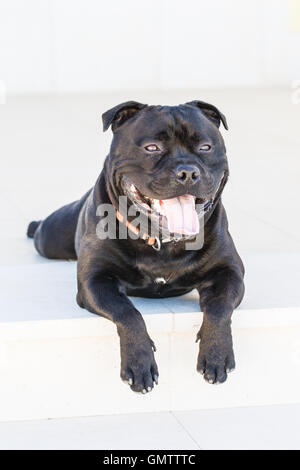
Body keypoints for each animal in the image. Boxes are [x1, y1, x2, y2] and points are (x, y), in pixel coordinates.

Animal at [27, 99, 244, 392]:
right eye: (152, 147)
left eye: (205, 147)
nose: (187, 172)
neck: (162, 242)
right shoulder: (95, 282)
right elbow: (128, 312)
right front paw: (139, 363)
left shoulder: (229, 273)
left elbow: (220, 306)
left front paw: (217, 354)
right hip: (50, 237)